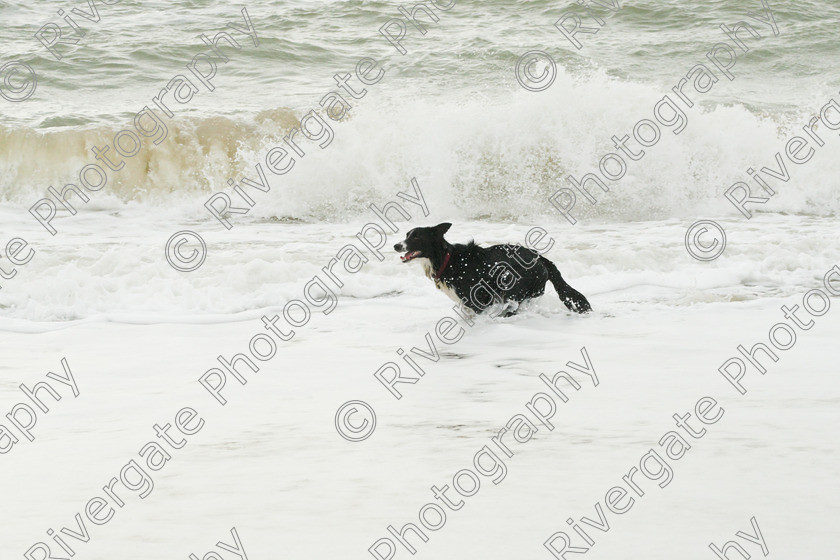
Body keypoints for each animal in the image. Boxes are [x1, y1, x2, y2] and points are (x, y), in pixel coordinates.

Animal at [394, 223, 592, 316]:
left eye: (416, 237)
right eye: (407, 235)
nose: (396, 245)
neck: (446, 260)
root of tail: (540, 257)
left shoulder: (478, 300)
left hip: (515, 288)